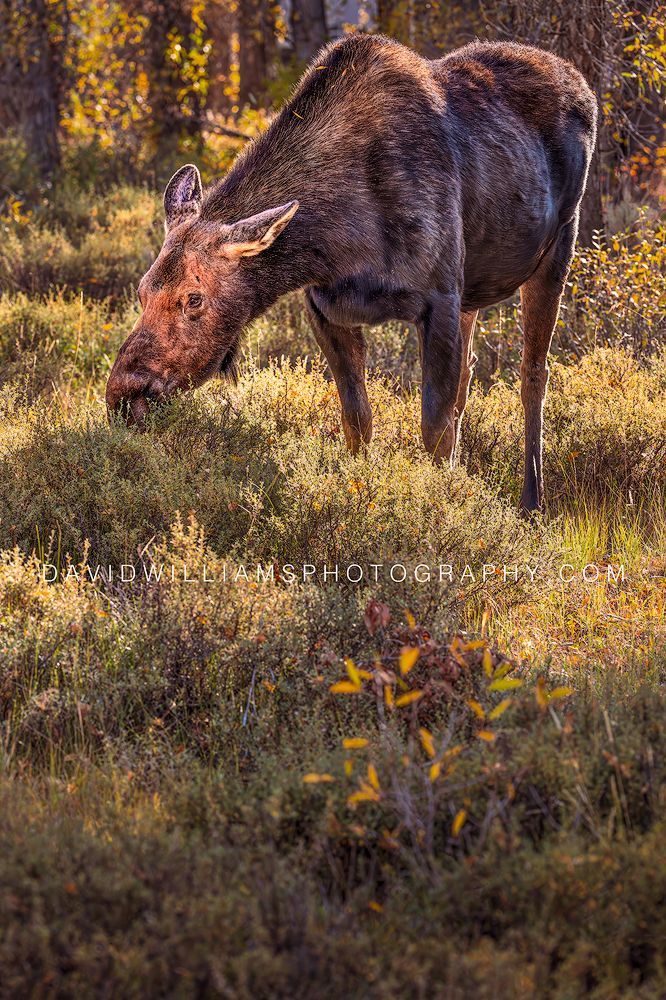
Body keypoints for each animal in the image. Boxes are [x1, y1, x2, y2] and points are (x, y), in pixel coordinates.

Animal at [106, 32, 596, 512]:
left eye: (193, 298)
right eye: (141, 291)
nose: (122, 396)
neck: (336, 240)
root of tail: (582, 86)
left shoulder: (438, 300)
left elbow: (432, 430)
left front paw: (443, 503)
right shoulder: (325, 307)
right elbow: (358, 420)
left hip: (558, 248)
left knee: (533, 373)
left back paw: (532, 500)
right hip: (472, 290)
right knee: (470, 373)